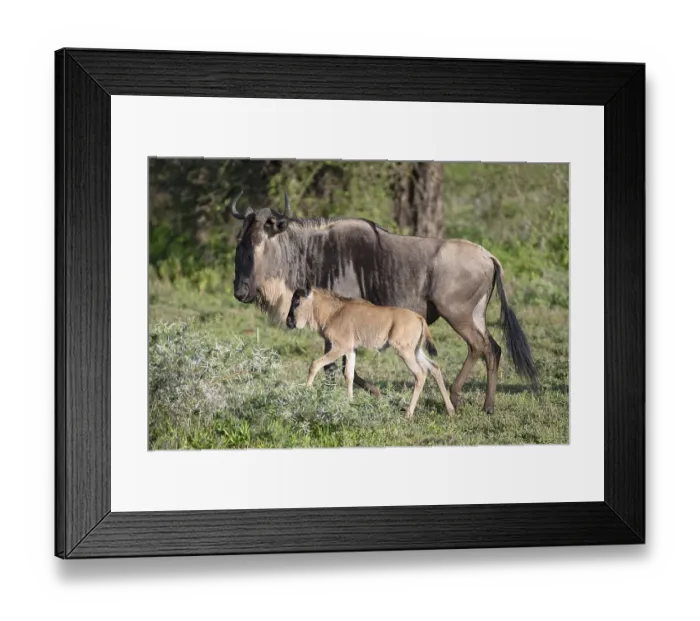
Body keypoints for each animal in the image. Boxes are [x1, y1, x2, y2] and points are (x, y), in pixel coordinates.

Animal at [285, 286, 456, 419]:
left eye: (297, 302)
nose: (289, 322)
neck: (334, 311)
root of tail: (419, 318)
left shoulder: (339, 348)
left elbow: (314, 364)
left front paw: (306, 392)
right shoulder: (351, 350)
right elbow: (349, 375)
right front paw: (350, 402)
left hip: (404, 352)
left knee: (420, 374)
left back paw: (408, 413)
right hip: (416, 351)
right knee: (434, 367)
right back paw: (450, 410)